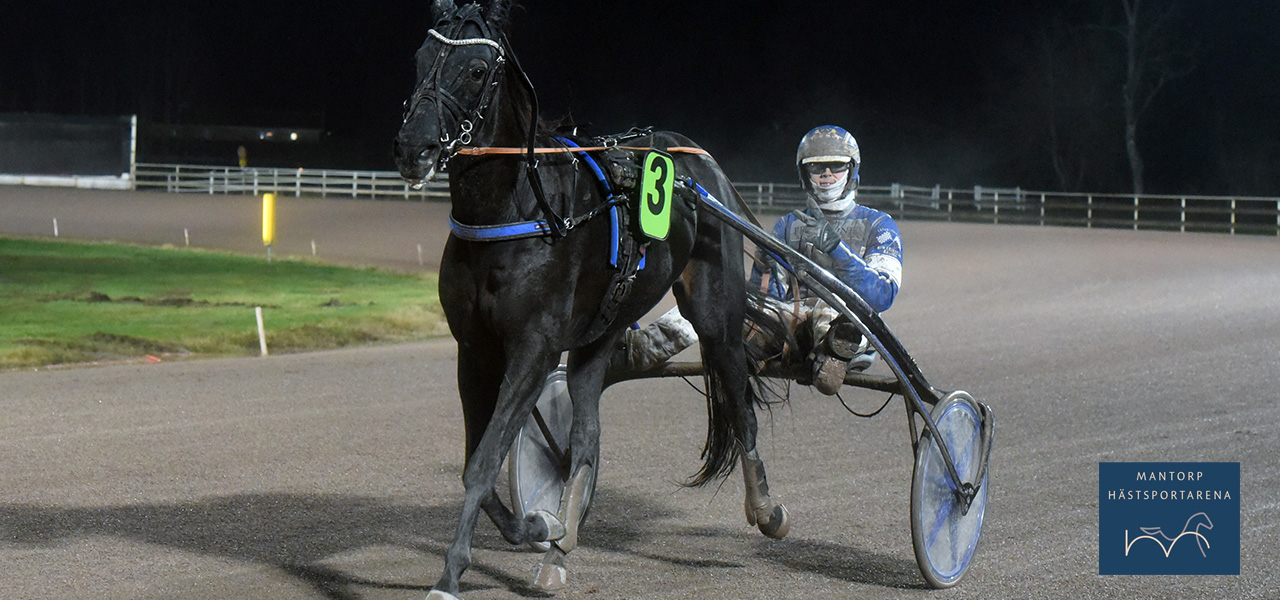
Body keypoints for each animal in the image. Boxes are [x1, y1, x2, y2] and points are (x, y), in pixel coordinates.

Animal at [389, 2, 788, 596]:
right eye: (420, 58)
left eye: (477, 70)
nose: (413, 149)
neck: (519, 210)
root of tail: (698, 157)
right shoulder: (475, 348)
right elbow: (475, 464)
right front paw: (538, 525)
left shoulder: (533, 347)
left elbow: (484, 461)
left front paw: (450, 573)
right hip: (601, 332)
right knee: (585, 434)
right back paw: (560, 546)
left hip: (716, 312)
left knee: (740, 401)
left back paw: (766, 509)